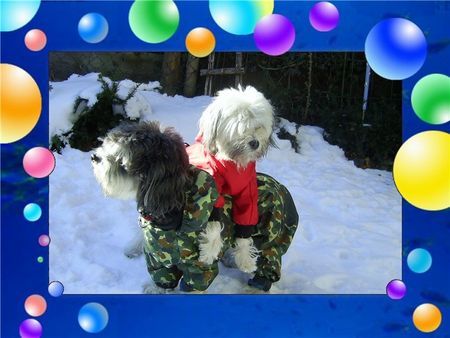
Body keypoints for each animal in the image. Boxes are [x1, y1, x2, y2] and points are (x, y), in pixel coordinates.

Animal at [185, 86, 274, 274]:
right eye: (240, 128)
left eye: (258, 127)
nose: (255, 143)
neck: (233, 164)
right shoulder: (212, 188)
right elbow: (214, 223)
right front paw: (209, 252)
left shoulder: (248, 194)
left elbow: (245, 228)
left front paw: (245, 259)